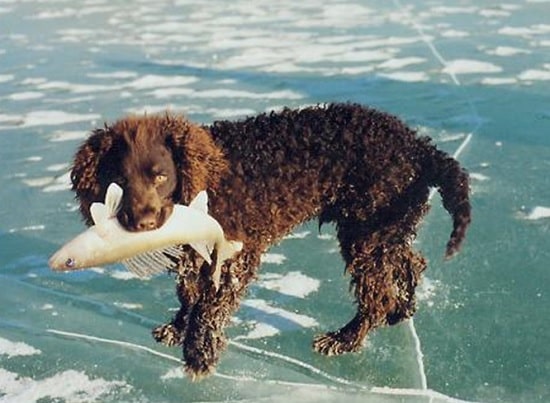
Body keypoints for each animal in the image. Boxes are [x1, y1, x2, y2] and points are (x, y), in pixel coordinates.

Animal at [69, 102, 472, 380]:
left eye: (160, 176)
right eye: (119, 181)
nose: (143, 223)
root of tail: (418, 146)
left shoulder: (235, 256)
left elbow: (208, 308)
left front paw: (199, 354)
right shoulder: (193, 253)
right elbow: (188, 294)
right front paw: (179, 327)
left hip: (366, 233)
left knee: (376, 295)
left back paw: (345, 338)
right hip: (384, 229)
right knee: (410, 262)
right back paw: (403, 308)